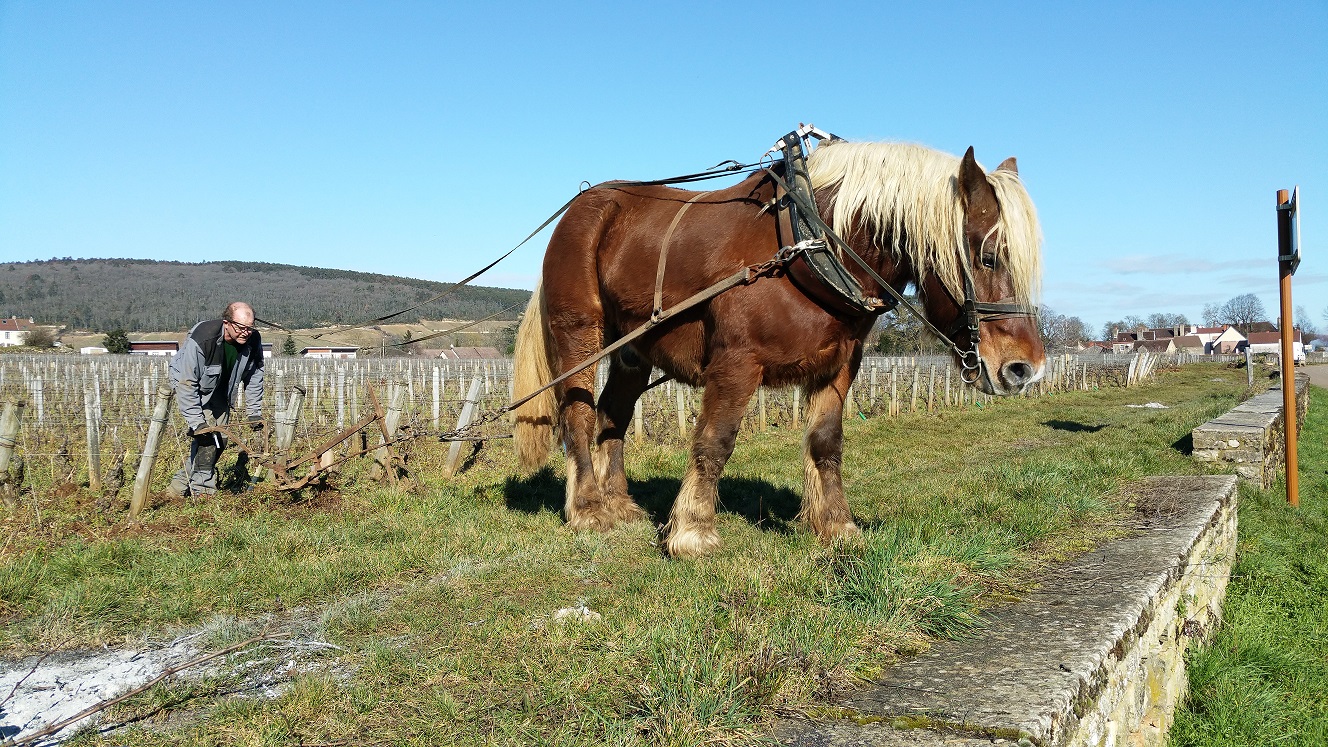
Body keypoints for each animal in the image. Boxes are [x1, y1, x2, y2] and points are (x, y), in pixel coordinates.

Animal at [512, 138, 1041, 552]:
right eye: (988, 256)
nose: (1025, 369)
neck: (810, 248)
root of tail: (582, 206)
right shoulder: (735, 363)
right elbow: (715, 441)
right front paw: (693, 531)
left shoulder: (840, 366)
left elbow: (826, 442)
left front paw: (836, 525)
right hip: (579, 333)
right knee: (578, 414)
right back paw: (588, 509)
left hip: (631, 350)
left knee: (613, 417)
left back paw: (619, 504)